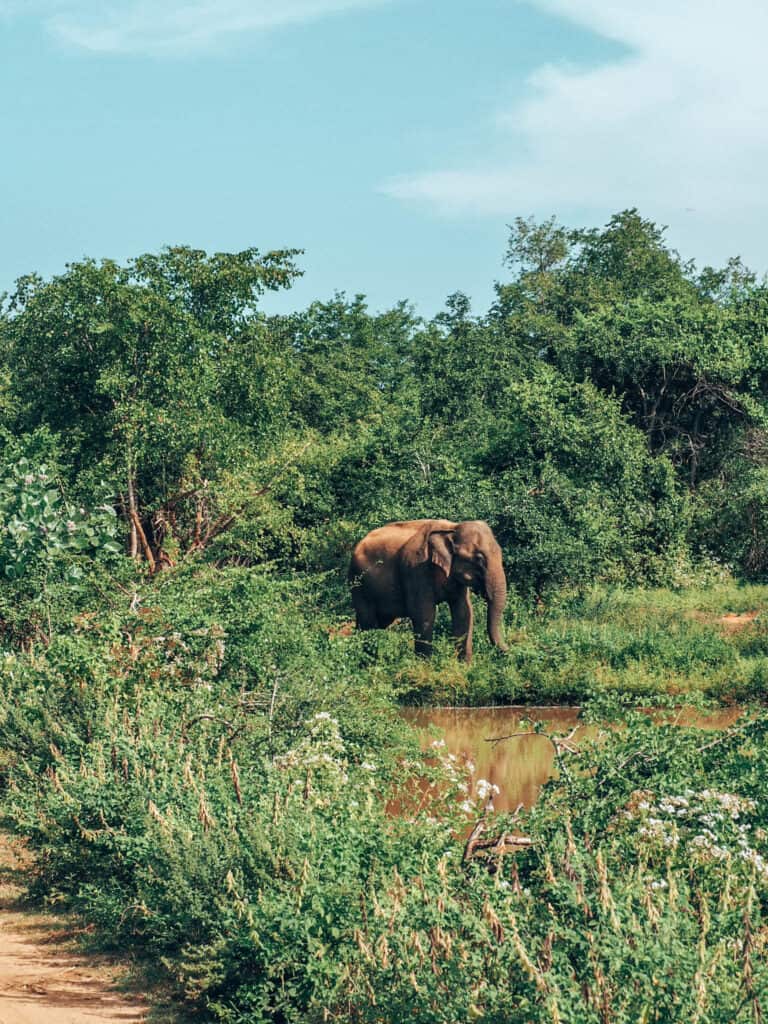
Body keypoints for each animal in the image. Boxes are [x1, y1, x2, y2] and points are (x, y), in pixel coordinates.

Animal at [350, 520, 512, 663]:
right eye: (479, 559)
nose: (510, 649)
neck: (451, 528)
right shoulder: (416, 568)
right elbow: (424, 613)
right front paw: (426, 668)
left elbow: (464, 611)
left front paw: (465, 667)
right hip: (358, 583)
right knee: (368, 622)